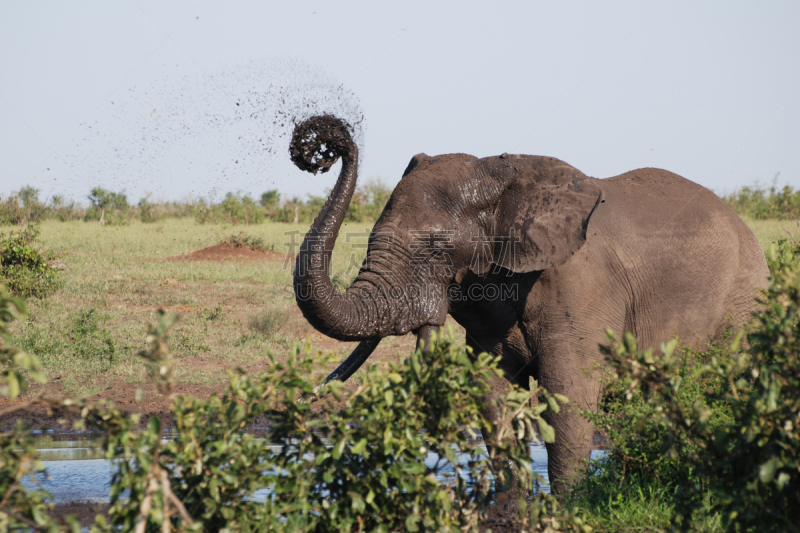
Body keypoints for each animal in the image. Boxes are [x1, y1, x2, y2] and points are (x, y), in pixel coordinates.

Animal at [288, 114, 768, 492]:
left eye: (437, 249)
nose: (320, 147)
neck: (501, 176)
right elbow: (494, 395)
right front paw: (512, 507)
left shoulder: (582, 285)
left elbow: (569, 395)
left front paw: (568, 509)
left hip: (745, 297)